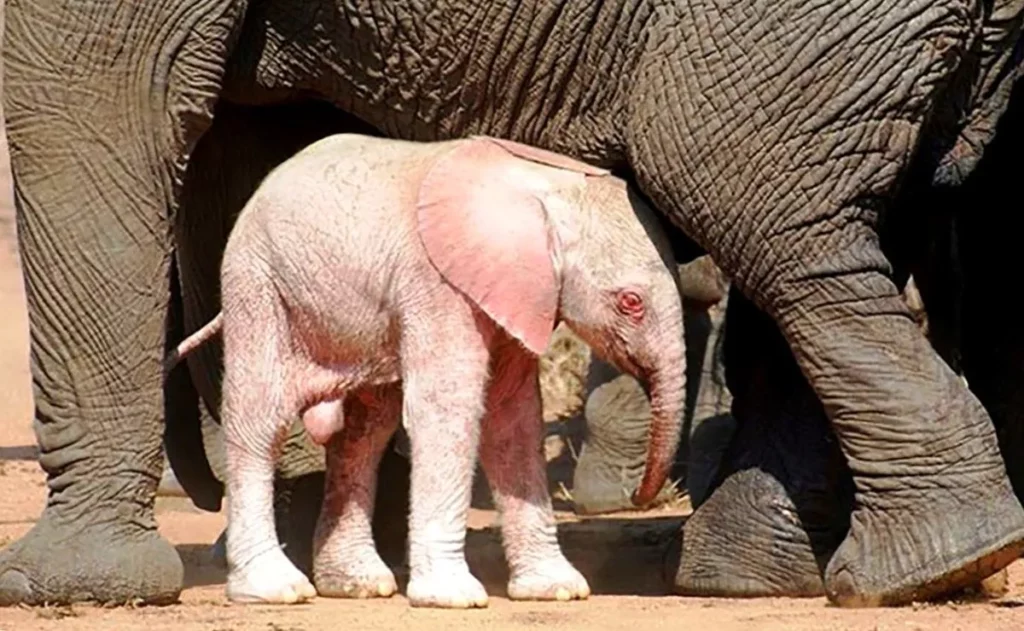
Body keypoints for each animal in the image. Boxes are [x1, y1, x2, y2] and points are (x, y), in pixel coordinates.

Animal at [172, 132, 688, 606]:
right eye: (631, 303)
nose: (639, 497)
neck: (547, 185)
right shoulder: (438, 285)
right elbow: (448, 410)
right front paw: (453, 597)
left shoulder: (517, 293)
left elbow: (512, 417)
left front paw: (556, 590)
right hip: (258, 284)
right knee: (260, 420)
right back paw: (275, 589)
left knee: (364, 430)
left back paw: (358, 584)